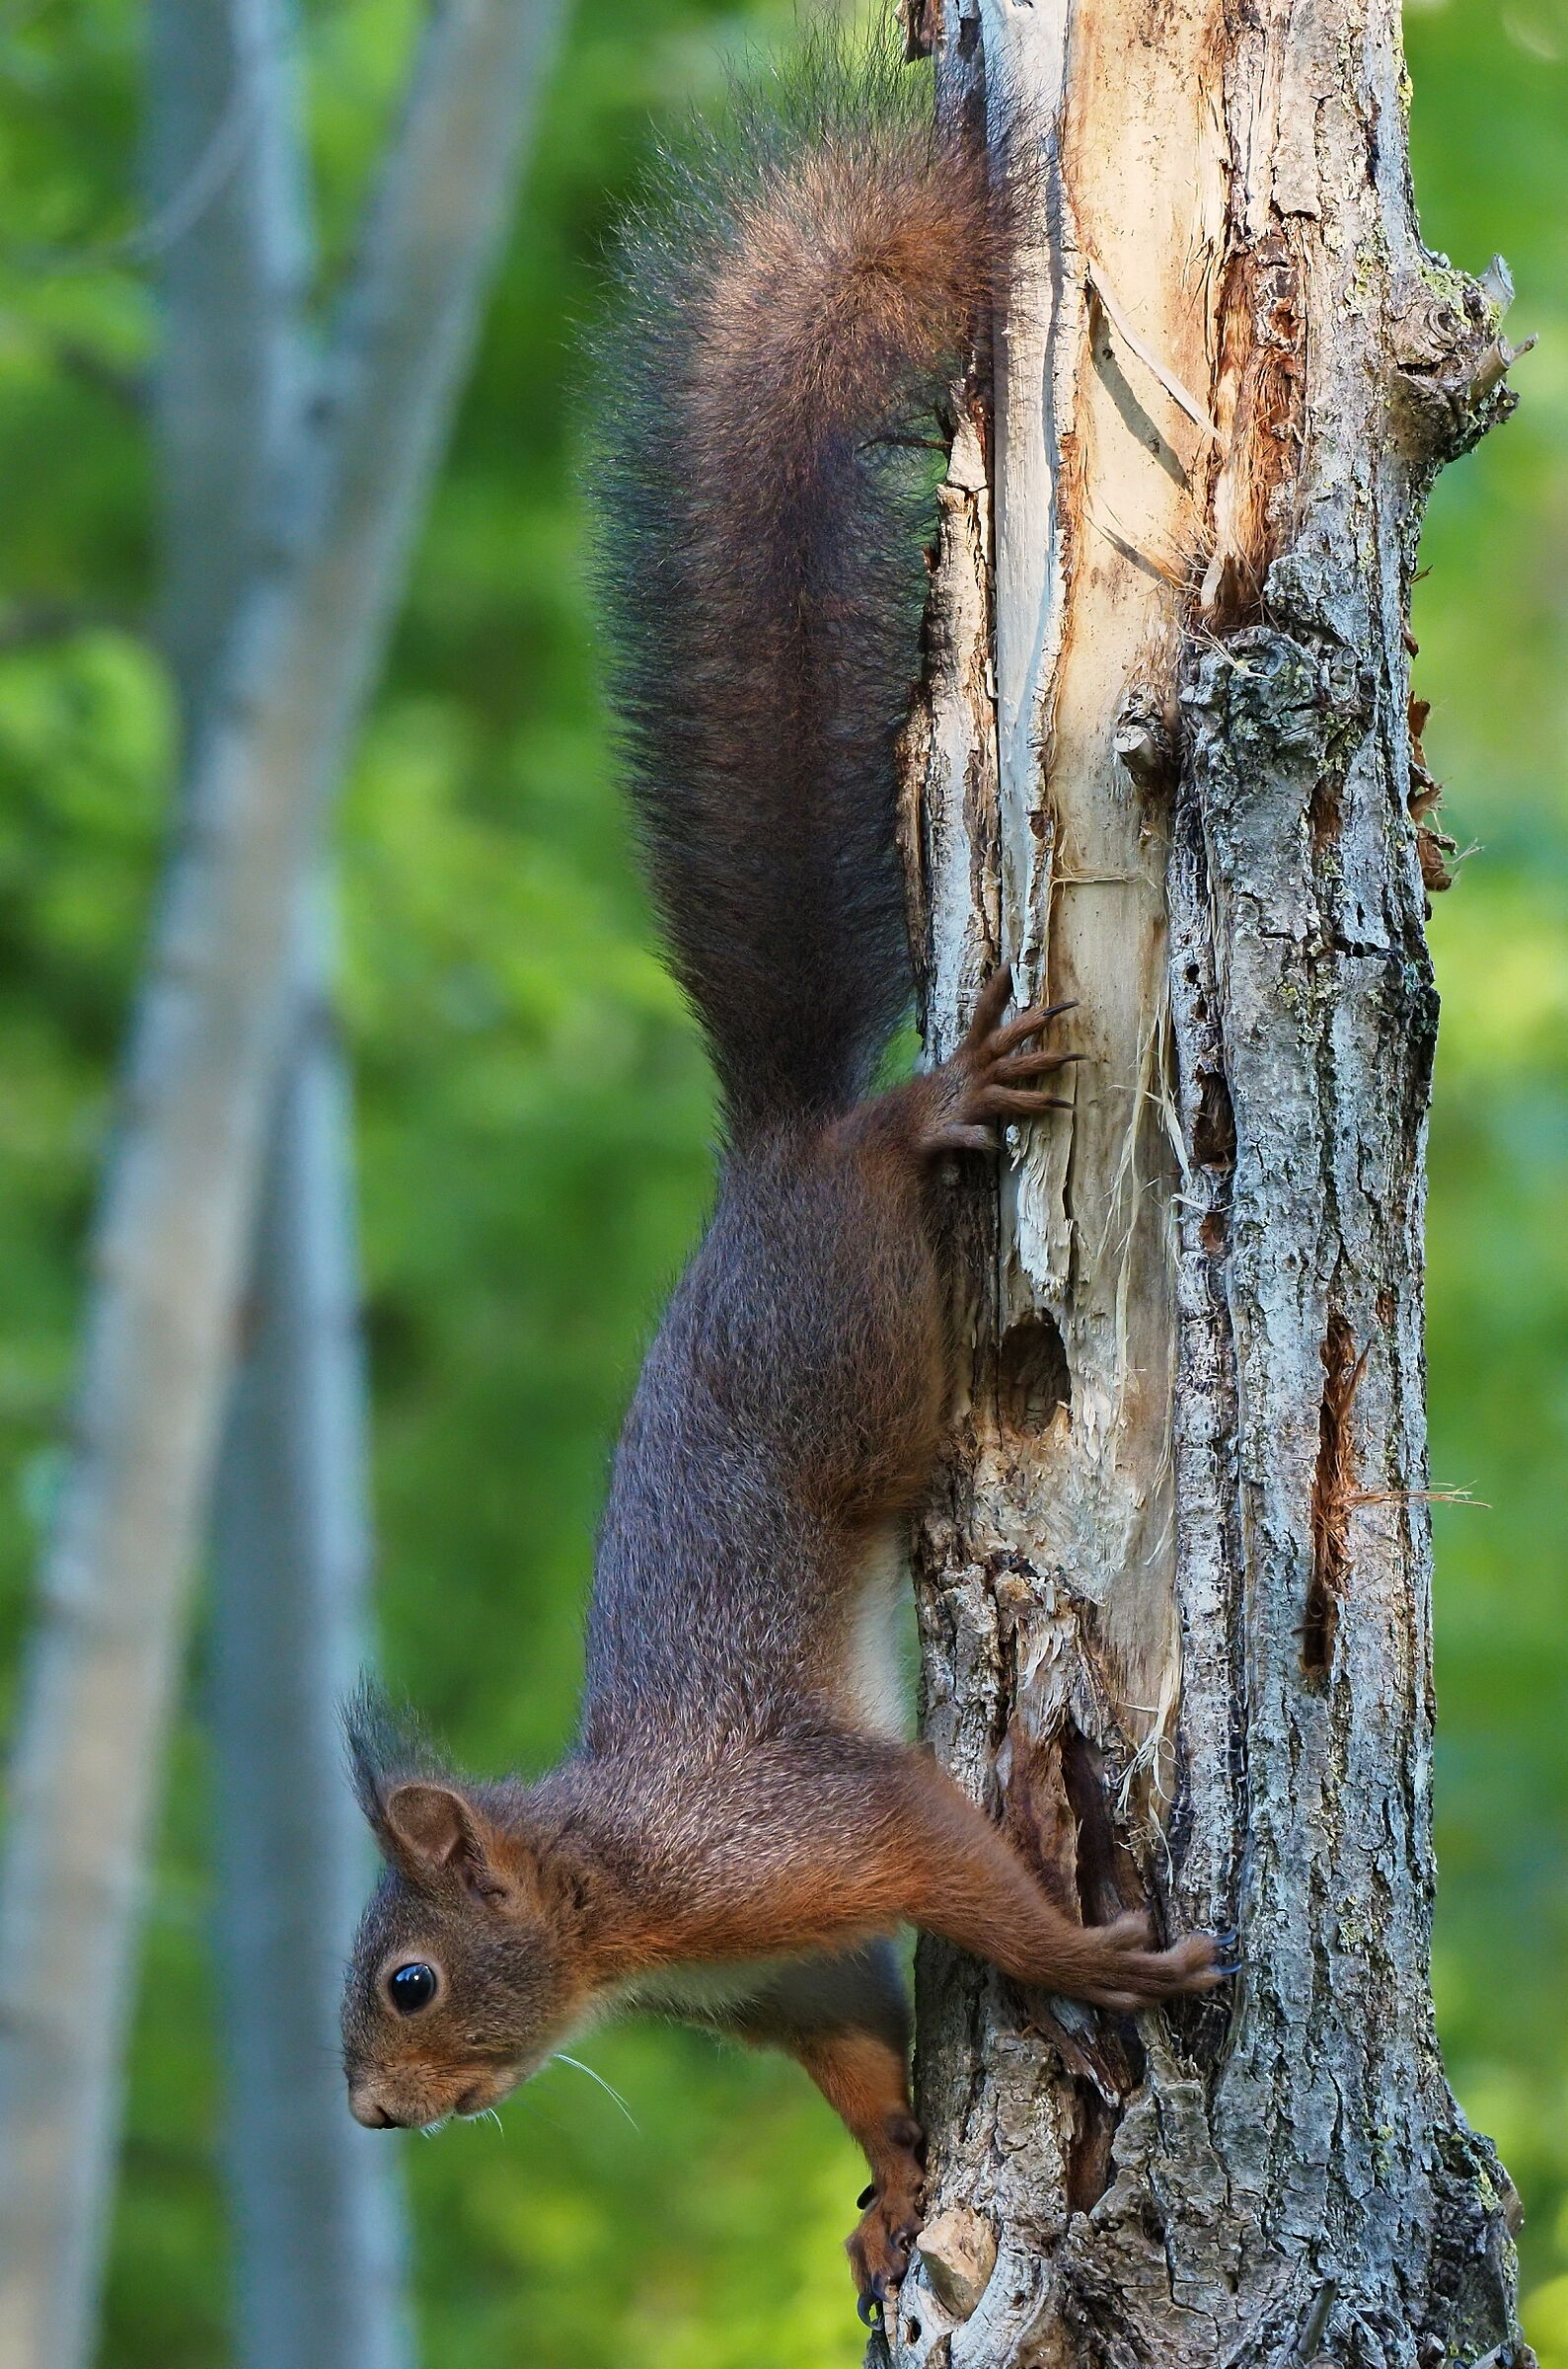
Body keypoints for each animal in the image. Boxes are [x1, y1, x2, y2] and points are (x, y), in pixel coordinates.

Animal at [340, 34, 1229, 2321]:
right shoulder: (784, 1976)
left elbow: (950, 1866)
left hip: (857, 1324)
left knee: (884, 1181)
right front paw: (896, 2188)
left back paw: (927, 1105)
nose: (370, 2120)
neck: (622, 1911)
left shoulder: (807, 1836)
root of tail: (759, 1153)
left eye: (402, 1980)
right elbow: (851, 2060)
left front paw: (1086, 1952)